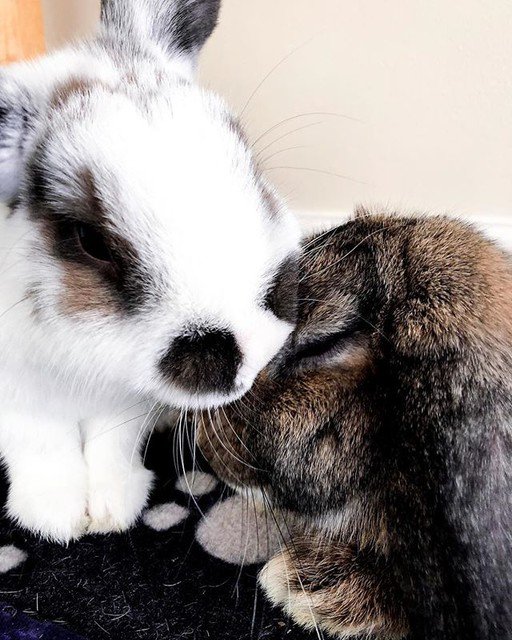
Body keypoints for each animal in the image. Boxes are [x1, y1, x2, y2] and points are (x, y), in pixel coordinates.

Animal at [0, 0, 300, 543]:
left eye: (252, 168)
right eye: (91, 242)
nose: (253, 345)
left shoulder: (126, 399)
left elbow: (110, 441)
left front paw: (113, 507)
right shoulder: (16, 393)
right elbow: (40, 442)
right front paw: (55, 519)